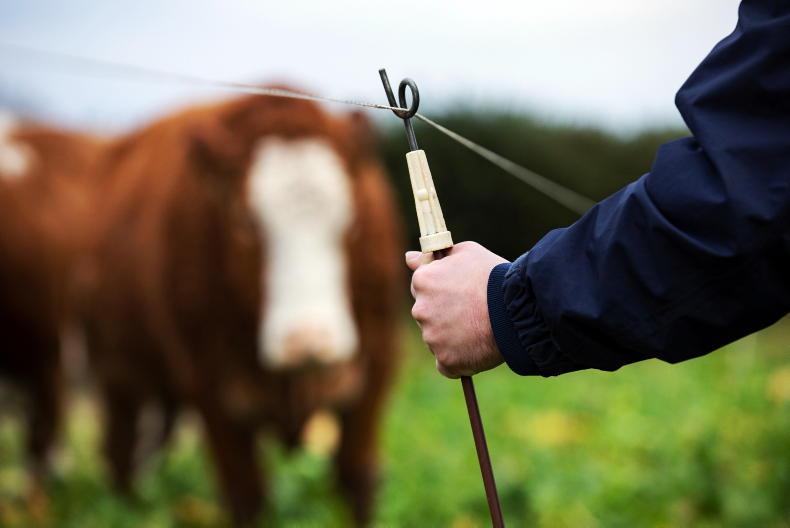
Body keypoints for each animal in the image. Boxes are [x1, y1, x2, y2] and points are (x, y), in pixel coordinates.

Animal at [82, 92, 404, 525]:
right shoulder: (209, 390)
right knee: (120, 452)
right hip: (116, 373)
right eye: (246, 223)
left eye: (351, 221)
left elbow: (357, 478)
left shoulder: (375, 371)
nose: (308, 341)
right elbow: (244, 492)